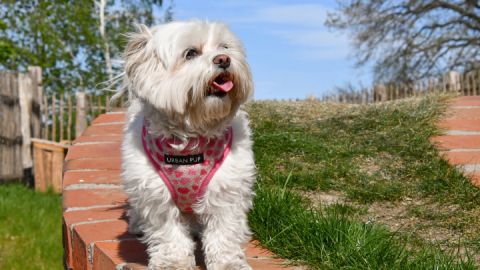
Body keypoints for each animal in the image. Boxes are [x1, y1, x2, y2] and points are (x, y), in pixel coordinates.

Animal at [119, 20, 256, 268]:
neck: (191, 137)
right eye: (190, 53)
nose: (224, 59)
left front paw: (228, 263)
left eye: (225, 47)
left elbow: (224, 232)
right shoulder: (156, 196)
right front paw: (173, 262)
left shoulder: (226, 190)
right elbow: (169, 234)